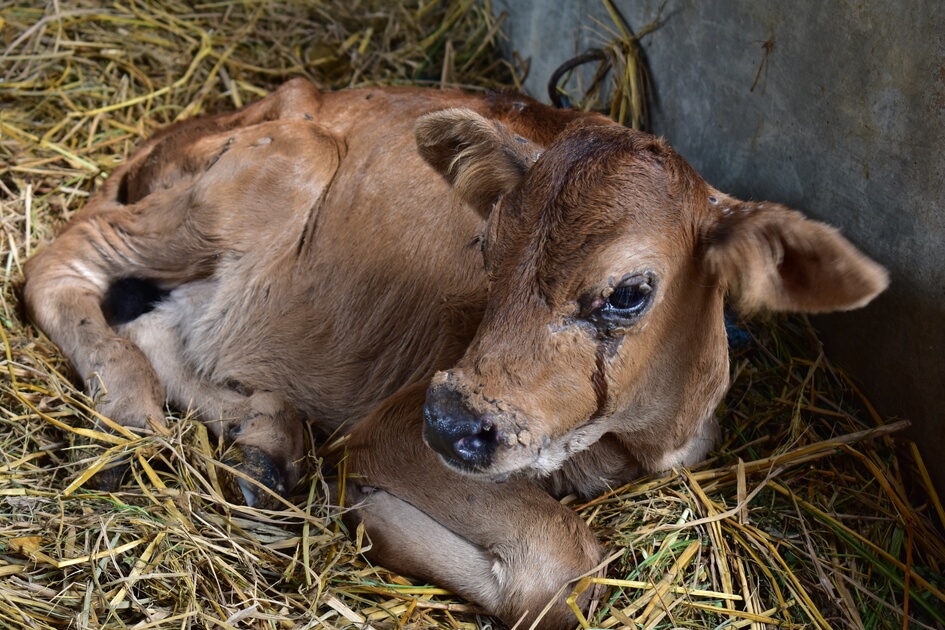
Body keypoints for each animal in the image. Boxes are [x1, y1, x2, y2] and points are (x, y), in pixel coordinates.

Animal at [24, 80, 892, 630]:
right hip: (260, 179)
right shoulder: (396, 427)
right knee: (60, 259)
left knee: (163, 326)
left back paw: (266, 446)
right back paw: (129, 398)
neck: (645, 433)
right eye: (486, 247)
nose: (451, 423)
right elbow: (563, 562)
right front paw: (370, 513)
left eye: (628, 293)